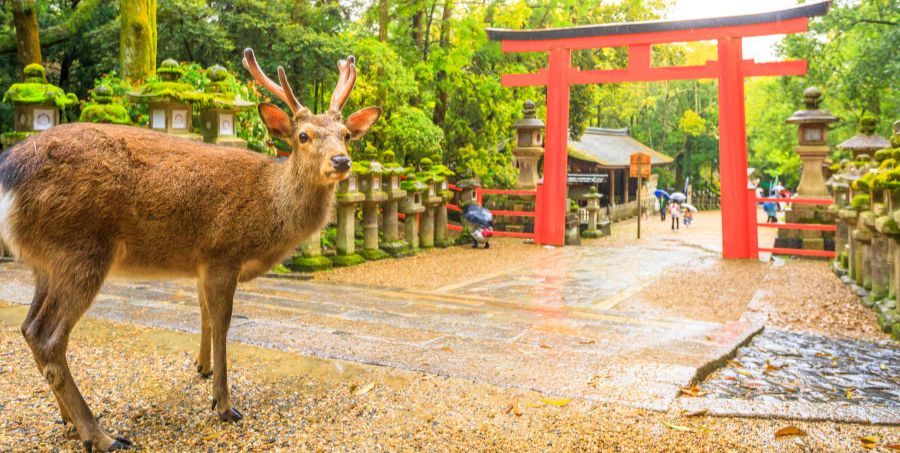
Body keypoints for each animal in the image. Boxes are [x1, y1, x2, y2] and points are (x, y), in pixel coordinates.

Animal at [0, 48, 380, 451]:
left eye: (346, 135)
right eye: (303, 136)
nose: (341, 160)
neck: (268, 212)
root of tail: (8, 174)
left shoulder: (201, 261)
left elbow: (204, 315)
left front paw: (202, 368)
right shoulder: (222, 251)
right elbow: (224, 323)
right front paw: (224, 405)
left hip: (46, 262)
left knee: (29, 328)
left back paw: (68, 420)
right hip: (80, 248)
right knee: (48, 336)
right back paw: (101, 434)